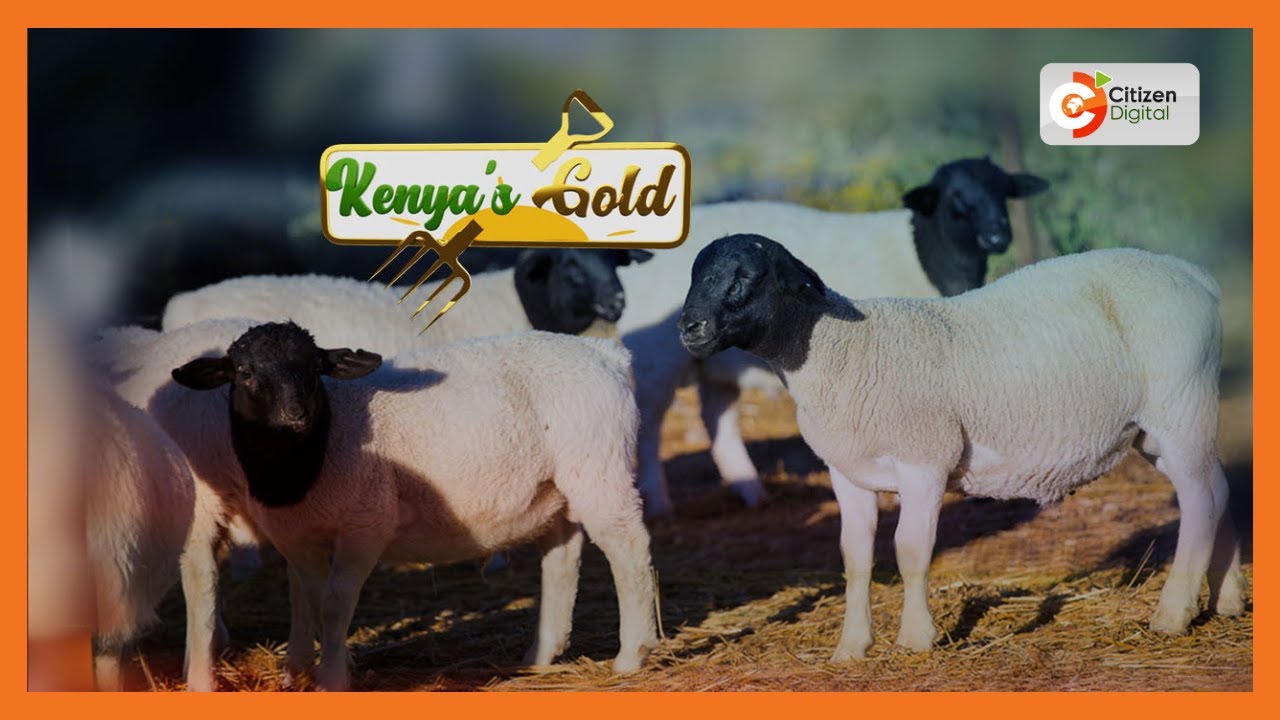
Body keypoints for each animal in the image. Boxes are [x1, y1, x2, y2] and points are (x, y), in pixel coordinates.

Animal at [169, 321, 658, 690]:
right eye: (244, 371)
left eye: (314, 368)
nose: (295, 415)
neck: (314, 450)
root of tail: (604, 353)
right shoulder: (296, 534)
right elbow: (306, 599)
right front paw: (301, 672)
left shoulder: (365, 524)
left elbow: (334, 603)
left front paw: (332, 679)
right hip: (556, 486)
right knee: (562, 557)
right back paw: (540, 654)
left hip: (599, 469)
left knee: (629, 551)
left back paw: (631, 655)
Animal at [618, 158, 1049, 516]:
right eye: (956, 198)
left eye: (1002, 190)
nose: (998, 238)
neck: (926, 259)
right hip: (657, 356)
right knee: (649, 423)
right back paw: (659, 501)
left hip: (716, 359)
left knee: (716, 415)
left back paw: (751, 490)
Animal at [676, 235, 1245, 658]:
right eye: (693, 275)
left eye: (747, 276)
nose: (689, 327)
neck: (838, 352)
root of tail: (1195, 275)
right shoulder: (847, 471)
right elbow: (855, 557)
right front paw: (851, 648)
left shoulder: (925, 458)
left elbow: (910, 551)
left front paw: (915, 639)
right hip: (1163, 428)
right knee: (1218, 491)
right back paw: (1229, 598)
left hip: (1181, 403)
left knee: (1200, 501)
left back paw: (1172, 615)